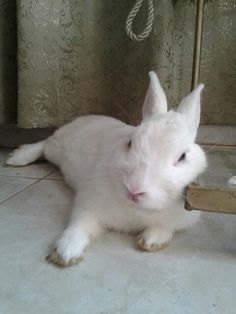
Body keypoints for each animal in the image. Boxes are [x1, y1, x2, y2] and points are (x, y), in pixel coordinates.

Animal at [6, 72, 206, 268]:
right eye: (130, 143)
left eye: (182, 157)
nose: (134, 189)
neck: (137, 209)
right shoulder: (88, 205)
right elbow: (79, 226)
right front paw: (66, 253)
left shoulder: (181, 219)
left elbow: (164, 228)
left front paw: (150, 241)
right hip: (56, 148)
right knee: (43, 144)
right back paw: (17, 158)